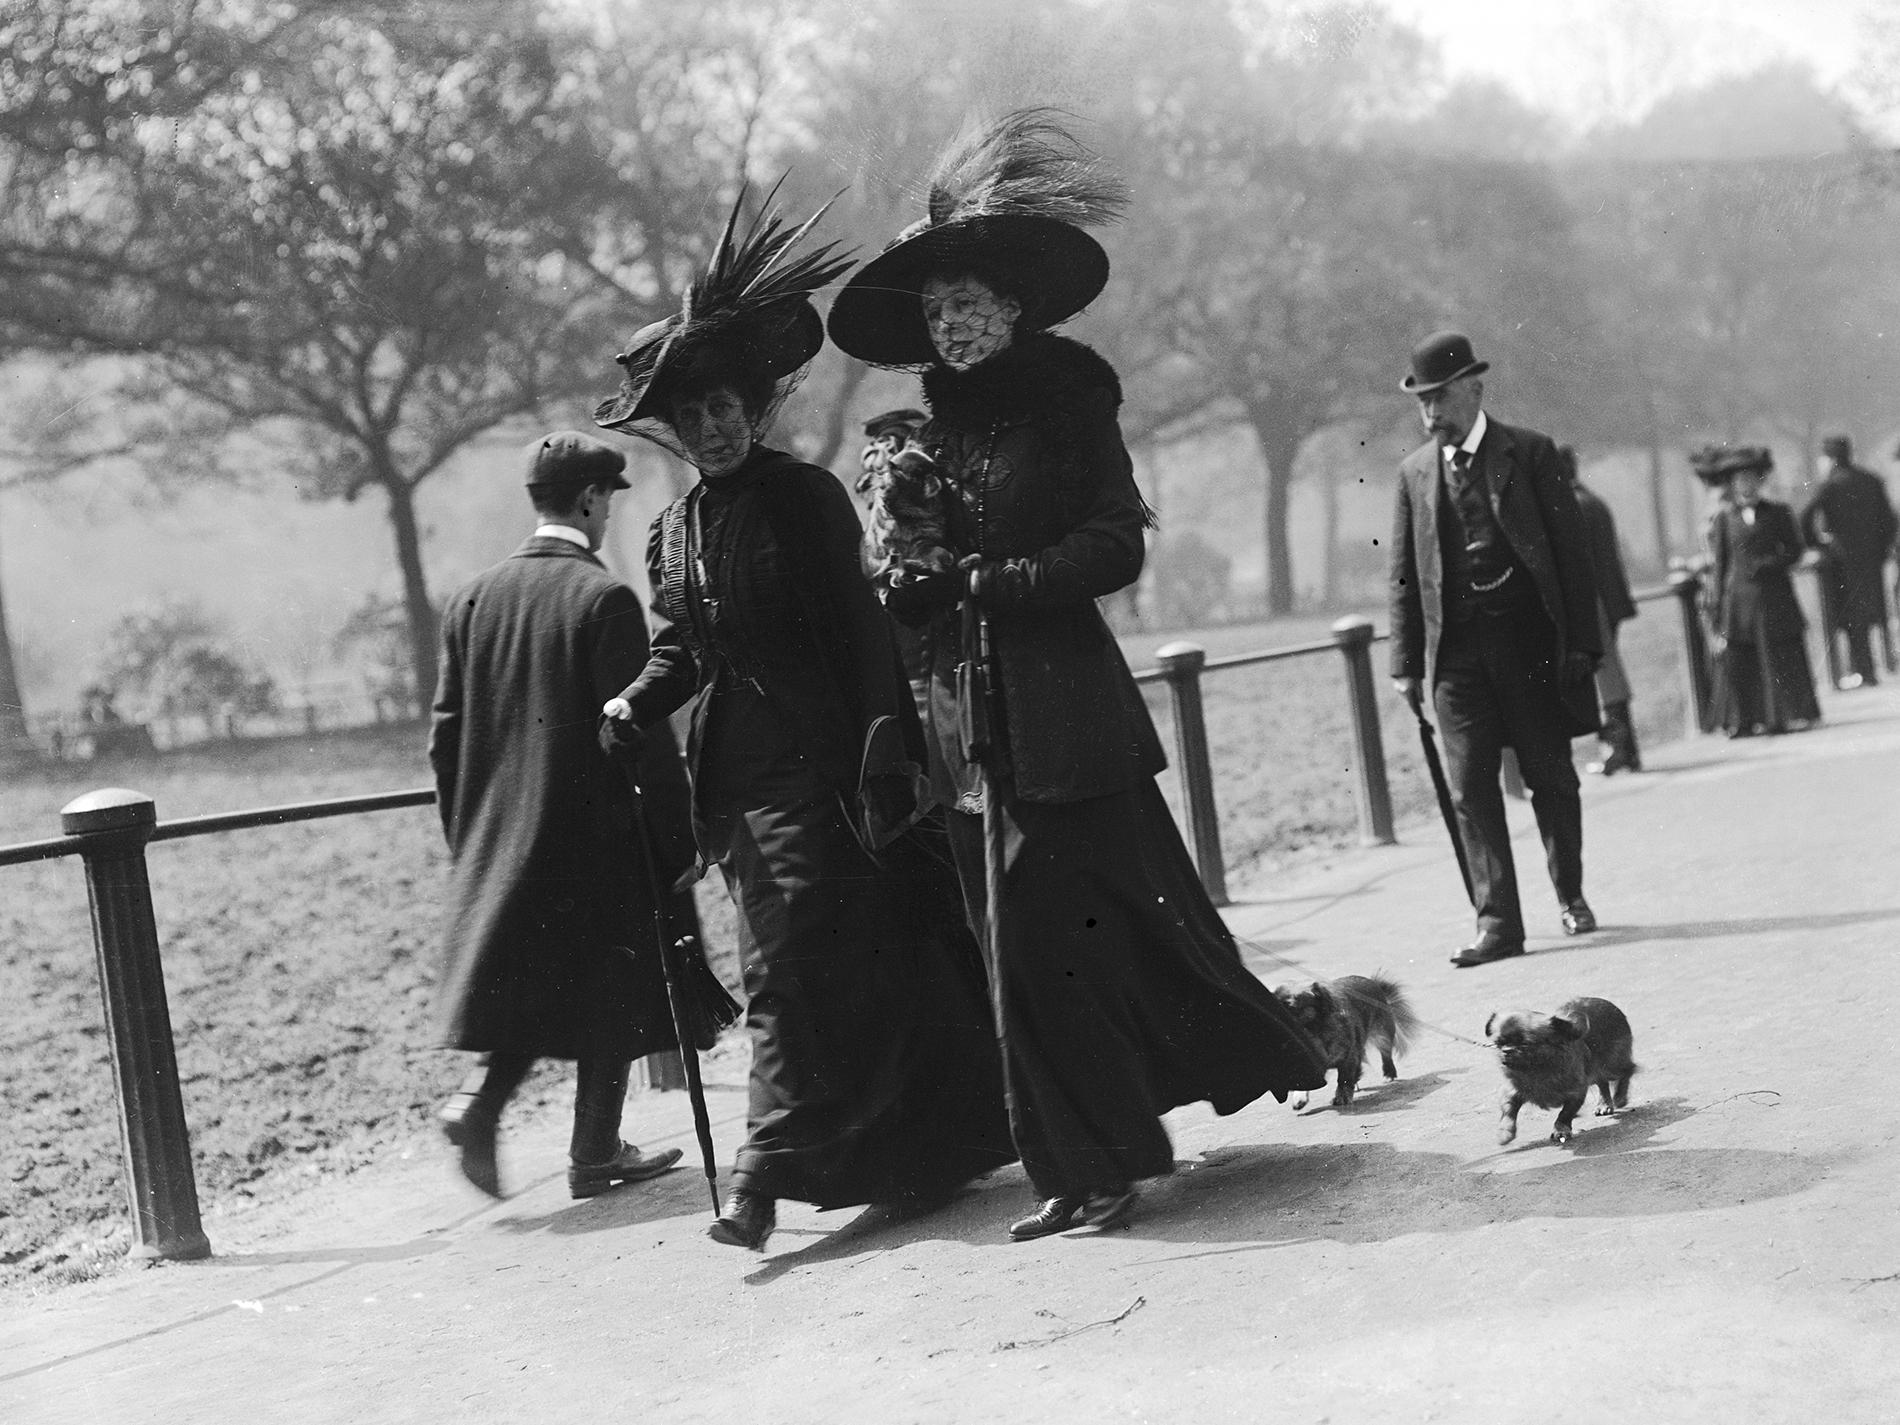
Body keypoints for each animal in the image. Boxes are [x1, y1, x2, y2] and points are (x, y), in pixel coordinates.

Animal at [1276, 980, 1413, 1109]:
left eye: (1299, 998)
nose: (1287, 1004)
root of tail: (1373, 982)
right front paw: (1299, 1099)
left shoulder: (1348, 1057)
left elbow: (1344, 1079)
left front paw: (1342, 1097)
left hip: (1382, 1034)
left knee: (1386, 1054)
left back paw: (1389, 1074)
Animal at [1482, 995, 1634, 1155]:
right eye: (1498, 1043)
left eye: (1525, 1043)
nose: (1507, 1050)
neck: (1538, 1070)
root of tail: (1608, 1004)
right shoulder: (1512, 1092)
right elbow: (1508, 1112)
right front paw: (1505, 1132)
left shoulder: (1576, 1093)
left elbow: (1565, 1113)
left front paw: (1561, 1130)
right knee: (1603, 1083)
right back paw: (1604, 1104)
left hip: (1612, 1066)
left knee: (1628, 1070)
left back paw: (1620, 1096)